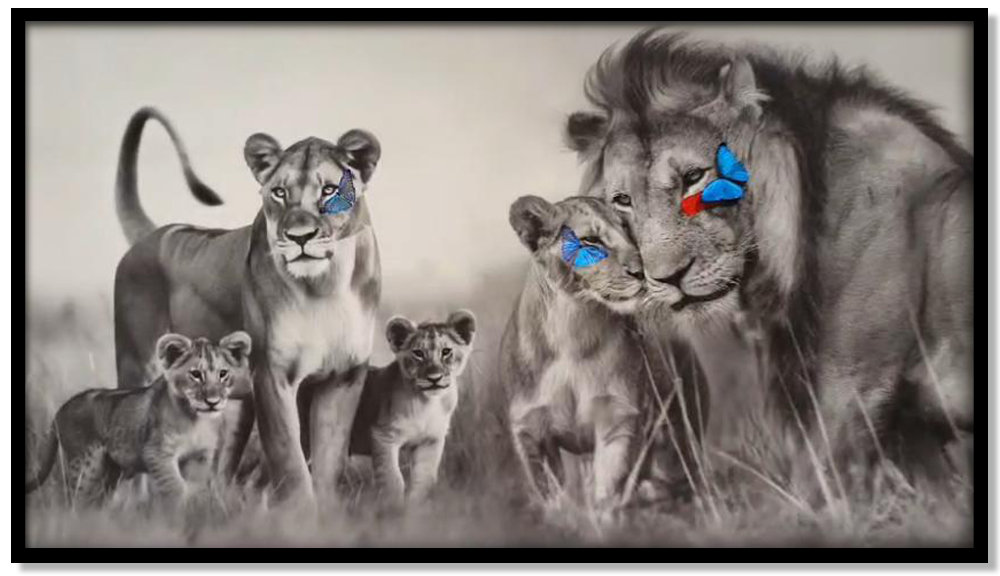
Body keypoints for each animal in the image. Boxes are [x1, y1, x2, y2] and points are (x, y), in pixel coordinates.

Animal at [26, 331, 251, 506]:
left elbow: (197, 487)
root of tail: (61, 408)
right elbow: (176, 486)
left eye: (223, 374)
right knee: (74, 499)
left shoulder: (200, 456)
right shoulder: (157, 453)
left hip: (110, 472)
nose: (213, 401)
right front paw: (181, 511)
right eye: (195, 374)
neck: (197, 419)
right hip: (85, 466)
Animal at [112, 108, 382, 503]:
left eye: (329, 190)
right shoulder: (272, 374)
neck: (325, 287)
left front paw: (328, 511)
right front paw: (302, 513)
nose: (300, 237)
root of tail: (154, 234)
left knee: (220, 469)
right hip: (137, 364)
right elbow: (290, 461)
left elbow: (329, 462)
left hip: (236, 403)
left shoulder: (344, 376)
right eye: (279, 192)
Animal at [349, 311, 477, 509]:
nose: (434, 378)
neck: (427, 404)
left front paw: (415, 510)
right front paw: (393, 509)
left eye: (446, 351)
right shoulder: (383, 436)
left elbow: (423, 480)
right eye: (418, 353)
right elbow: (393, 480)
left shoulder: (431, 440)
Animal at [500, 195, 706, 510]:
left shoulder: (618, 416)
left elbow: (608, 488)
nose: (642, 272)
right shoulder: (530, 431)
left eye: (629, 231)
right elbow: (551, 496)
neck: (573, 331)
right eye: (591, 240)